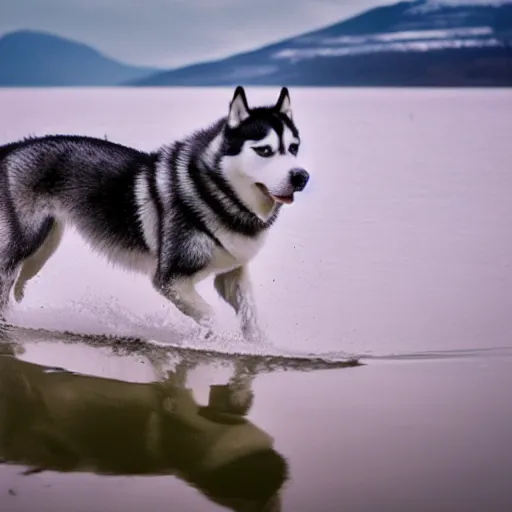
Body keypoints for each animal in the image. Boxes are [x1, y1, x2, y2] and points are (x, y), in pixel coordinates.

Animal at [0, 86, 310, 342]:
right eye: (264, 150)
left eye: (293, 148)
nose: (301, 177)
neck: (216, 191)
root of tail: (14, 147)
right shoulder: (170, 280)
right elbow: (210, 316)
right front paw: (210, 341)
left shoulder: (232, 272)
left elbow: (250, 316)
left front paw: (258, 346)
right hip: (26, 243)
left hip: (46, 244)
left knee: (22, 280)